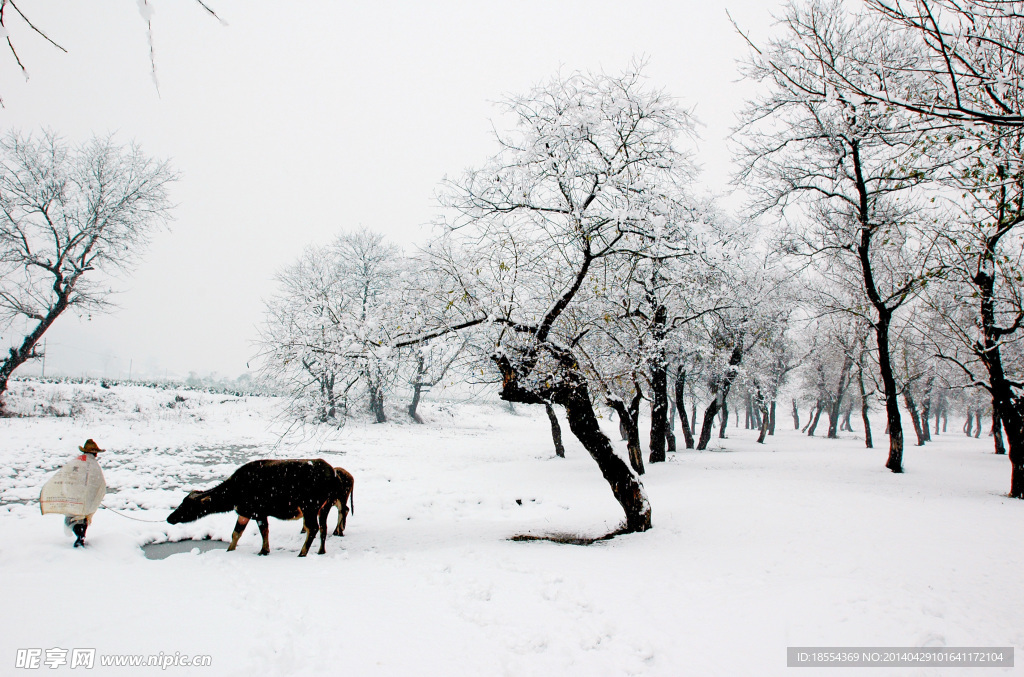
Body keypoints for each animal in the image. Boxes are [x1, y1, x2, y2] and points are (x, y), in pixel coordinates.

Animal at [167, 458, 344, 553]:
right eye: (182, 502)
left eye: (187, 505)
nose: (170, 518)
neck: (234, 493)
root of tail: (335, 476)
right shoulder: (244, 512)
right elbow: (236, 533)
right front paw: (230, 549)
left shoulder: (259, 512)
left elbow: (263, 531)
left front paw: (264, 551)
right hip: (325, 507)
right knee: (323, 528)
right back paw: (321, 551)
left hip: (310, 507)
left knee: (312, 528)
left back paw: (302, 553)